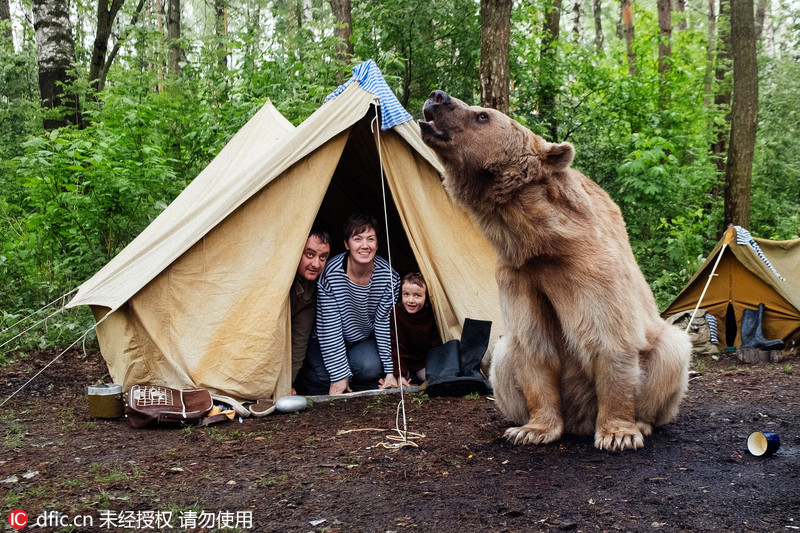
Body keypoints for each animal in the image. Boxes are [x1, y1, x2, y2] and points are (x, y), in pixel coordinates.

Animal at [422, 90, 692, 448]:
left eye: (483, 115)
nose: (437, 96)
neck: (536, 237)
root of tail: (581, 418)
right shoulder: (519, 275)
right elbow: (532, 345)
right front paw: (531, 430)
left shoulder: (590, 267)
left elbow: (611, 338)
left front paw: (618, 434)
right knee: (503, 356)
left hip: (662, 354)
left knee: (672, 350)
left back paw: (642, 422)